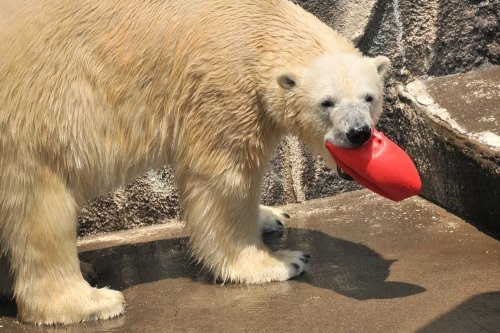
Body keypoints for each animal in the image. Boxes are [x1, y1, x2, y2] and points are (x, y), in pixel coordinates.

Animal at [0, 0, 390, 324]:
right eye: (327, 102)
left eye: (369, 97)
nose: (358, 133)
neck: (254, 21)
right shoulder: (221, 83)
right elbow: (225, 178)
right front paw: (280, 261)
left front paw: (271, 216)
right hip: (34, 116)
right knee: (40, 204)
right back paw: (91, 301)